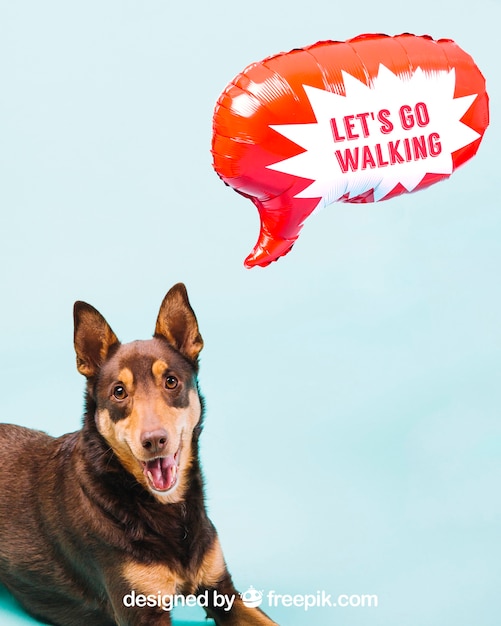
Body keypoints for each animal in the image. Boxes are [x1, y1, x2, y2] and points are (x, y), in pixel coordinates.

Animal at [0, 284, 278, 624]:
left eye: (171, 381)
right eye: (119, 391)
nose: (155, 440)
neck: (166, 509)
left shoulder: (223, 590)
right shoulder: (141, 611)